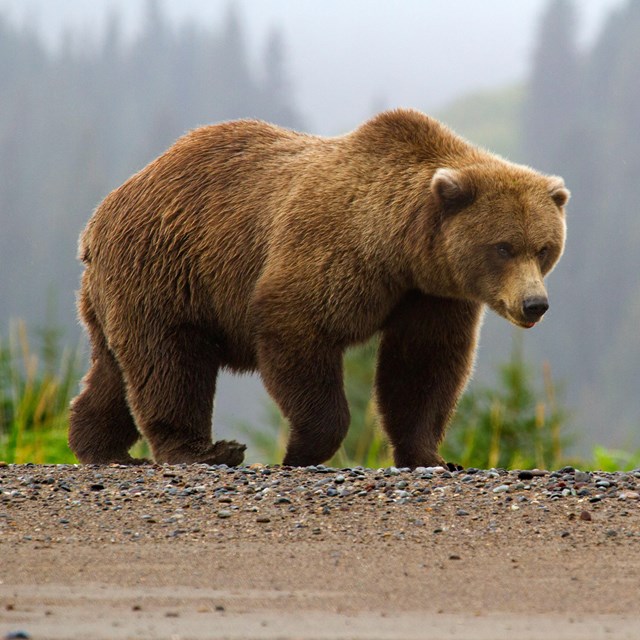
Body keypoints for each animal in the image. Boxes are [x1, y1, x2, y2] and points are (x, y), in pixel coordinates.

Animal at [70, 109, 568, 470]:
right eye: (503, 247)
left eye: (544, 248)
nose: (535, 304)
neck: (400, 249)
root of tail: (100, 215)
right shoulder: (332, 252)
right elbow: (297, 328)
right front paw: (300, 450)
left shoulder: (431, 295)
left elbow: (423, 367)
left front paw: (433, 456)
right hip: (167, 269)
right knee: (170, 362)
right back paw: (204, 451)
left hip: (121, 290)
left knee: (115, 370)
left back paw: (99, 446)